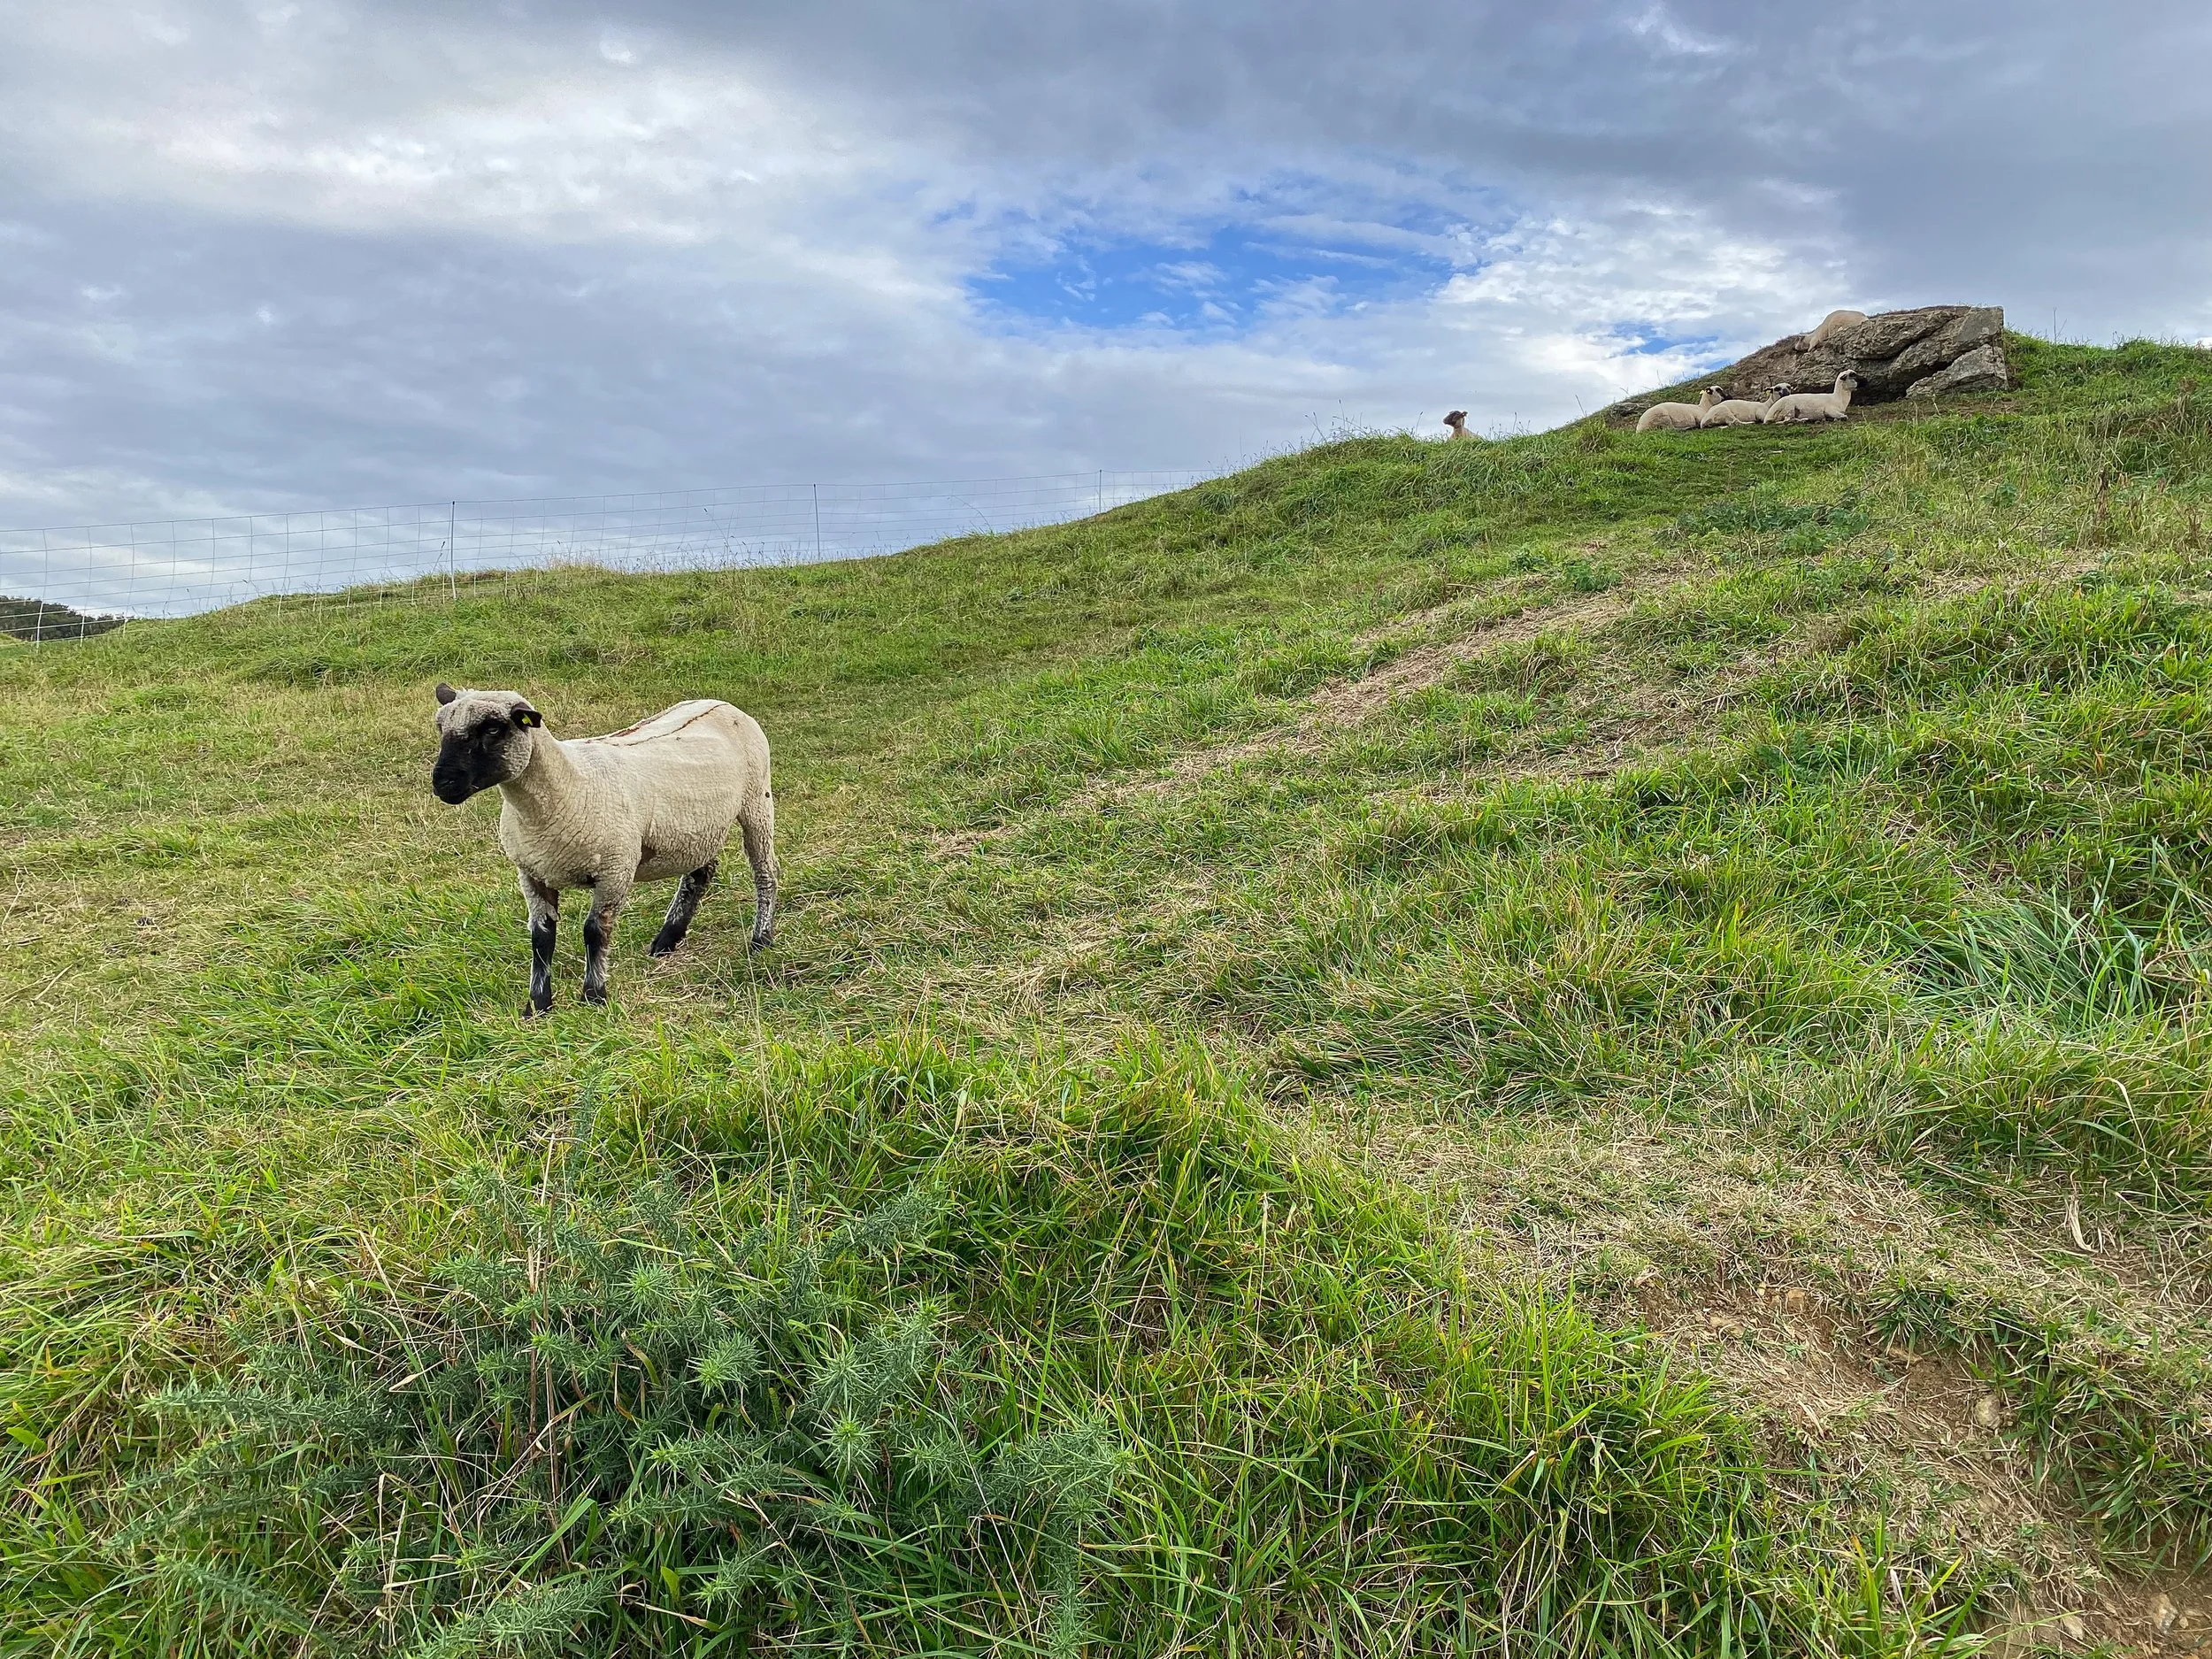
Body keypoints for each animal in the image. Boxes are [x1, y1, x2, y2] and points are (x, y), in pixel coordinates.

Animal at [431, 684, 777, 1015]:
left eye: (492, 728)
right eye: (441, 727)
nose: (442, 783)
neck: (568, 785)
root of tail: (721, 704)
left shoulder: (615, 870)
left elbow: (595, 931)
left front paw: (594, 996)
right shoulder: (531, 873)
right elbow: (541, 937)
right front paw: (538, 1006)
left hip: (757, 800)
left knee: (765, 871)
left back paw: (761, 939)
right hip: (698, 829)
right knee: (701, 874)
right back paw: (667, 939)